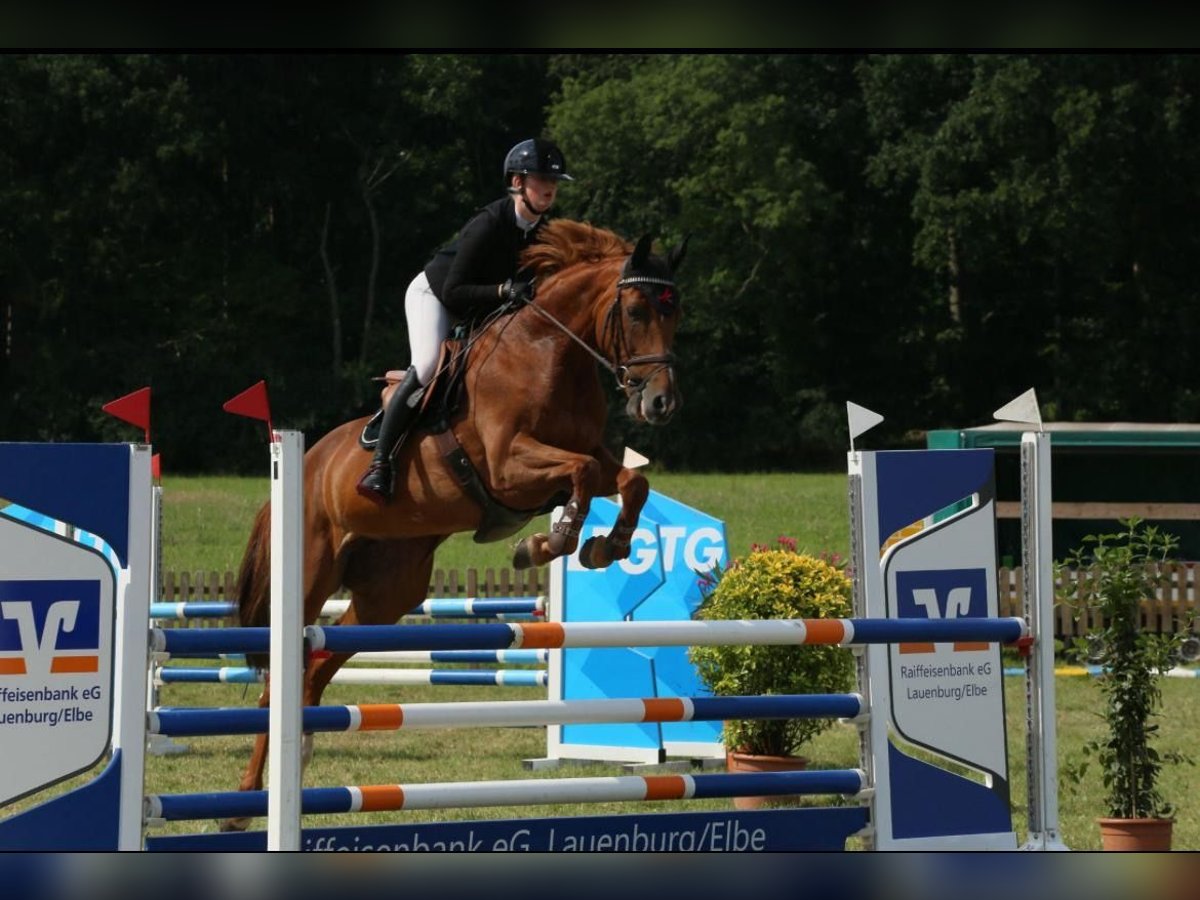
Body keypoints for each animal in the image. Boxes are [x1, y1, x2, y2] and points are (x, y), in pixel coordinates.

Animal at [223, 220, 686, 830]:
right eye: (634, 310)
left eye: (675, 311)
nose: (660, 403)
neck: (549, 350)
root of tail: (303, 465)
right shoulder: (509, 467)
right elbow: (581, 475)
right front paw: (549, 541)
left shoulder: (587, 455)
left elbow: (631, 482)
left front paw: (602, 547)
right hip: (309, 577)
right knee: (277, 682)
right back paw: (242, 806)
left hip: (386, 596)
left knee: (314, 670)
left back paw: (296, 764)